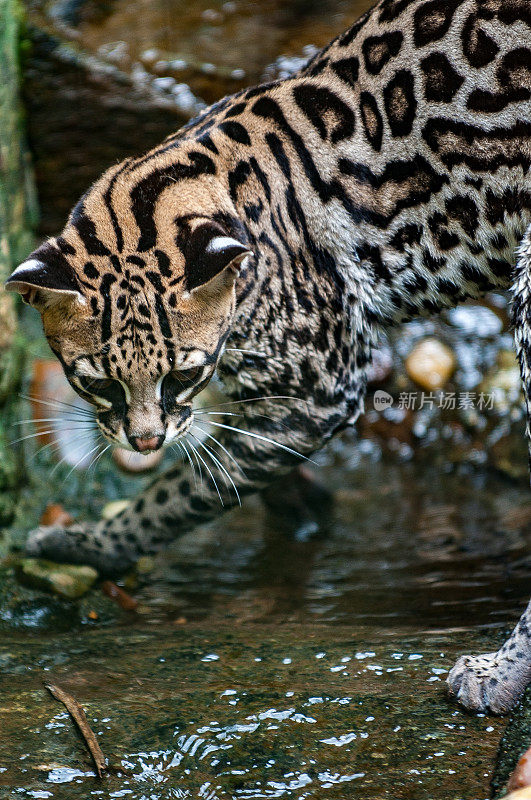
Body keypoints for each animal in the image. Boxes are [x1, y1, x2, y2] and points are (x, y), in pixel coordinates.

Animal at [4, 0, 531, 712]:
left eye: (182, 373)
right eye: (100, 384)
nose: (143, 443)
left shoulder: (323, 386)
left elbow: (185, 491)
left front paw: (92, 544)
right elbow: (236, 456)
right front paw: (299, 503)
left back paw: (499, 672)